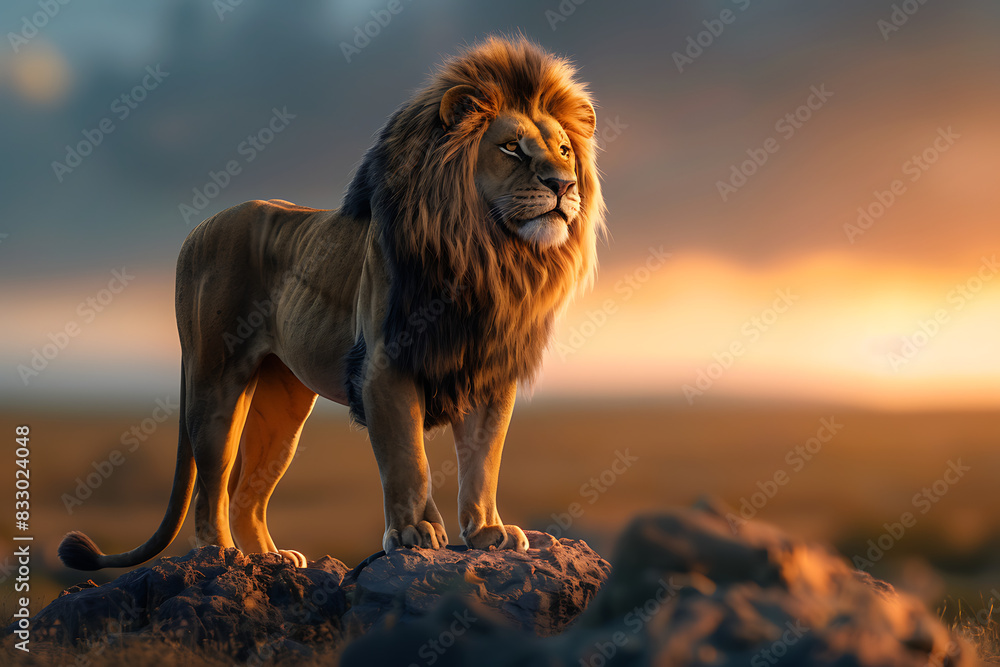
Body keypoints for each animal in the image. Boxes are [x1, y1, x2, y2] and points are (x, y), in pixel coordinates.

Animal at [59, 36, 604, 570]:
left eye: (563, 150)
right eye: (511, 147)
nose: (564, 184)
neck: (490, 257)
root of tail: (195, 231)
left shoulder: (490, 373)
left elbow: (483, 459)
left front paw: (489, 533)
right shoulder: (384, 364)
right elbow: (408, 458)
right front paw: (413, 534)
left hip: (282, 404)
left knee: (247, 492)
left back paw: (272, 558)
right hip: (215, 382)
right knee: (211, 487)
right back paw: (223, 554)